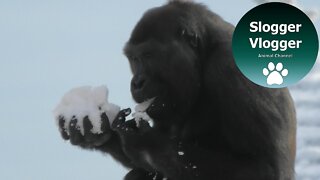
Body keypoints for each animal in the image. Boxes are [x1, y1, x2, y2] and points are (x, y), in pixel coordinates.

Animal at [58, 0, 298, 179]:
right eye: (134, 59)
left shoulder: (229, 69)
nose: (137, 82)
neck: (205, 52)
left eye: (149, 55)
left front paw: (148, 144)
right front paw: (97, 131)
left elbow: (264, 170)